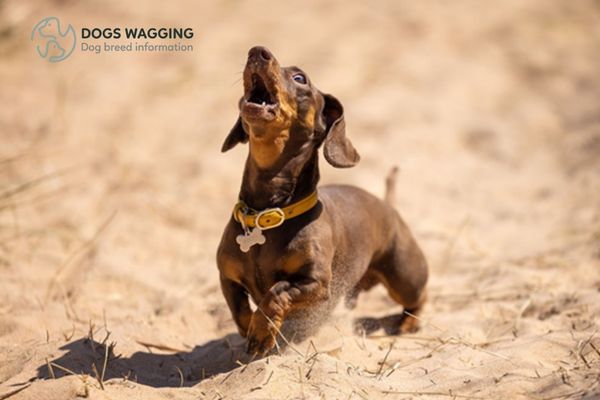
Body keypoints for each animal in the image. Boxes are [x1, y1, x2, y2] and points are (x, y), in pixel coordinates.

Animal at [218, 45, 428, 354]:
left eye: (300, 77)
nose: (257, 51)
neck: (268, 213)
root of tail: (387, 204)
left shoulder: (315, 283)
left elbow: (276, 293)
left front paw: (262, 331)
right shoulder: (227, 276)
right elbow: (239, 310)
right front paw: (252, 331)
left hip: (404, 275)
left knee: (419, 296)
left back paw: (410, 323)